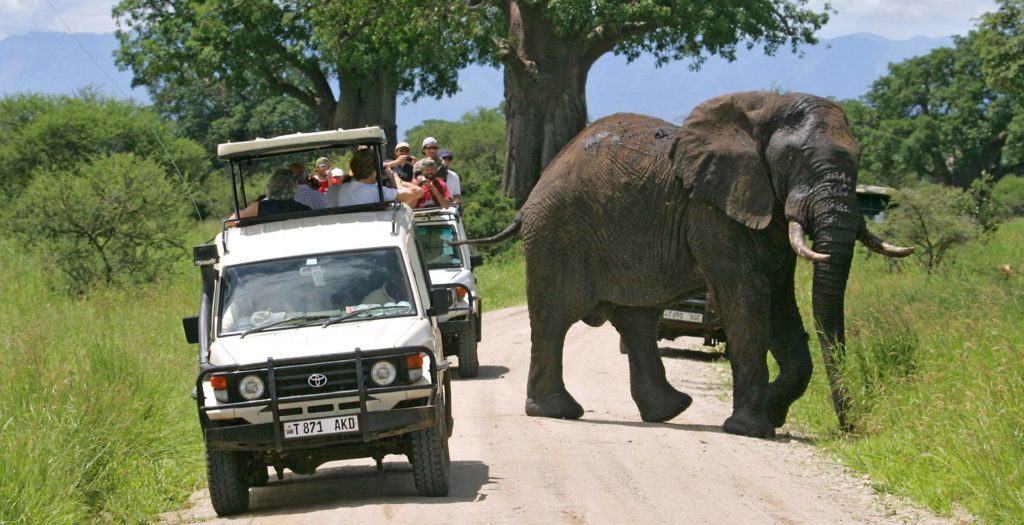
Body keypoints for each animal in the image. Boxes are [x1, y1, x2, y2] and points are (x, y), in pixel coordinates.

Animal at [460, 91, 909, 438]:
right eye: (794, 159)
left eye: (859, 159)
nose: (848, 429)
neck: (765, 109)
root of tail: (533, 193)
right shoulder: (711, 209)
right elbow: (747, 299)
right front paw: (751, 429)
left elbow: (780, 304)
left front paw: (773, 412)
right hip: (557, 234)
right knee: (555, 317)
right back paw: (559, 412)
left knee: (637, 320)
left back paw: (669, 411)